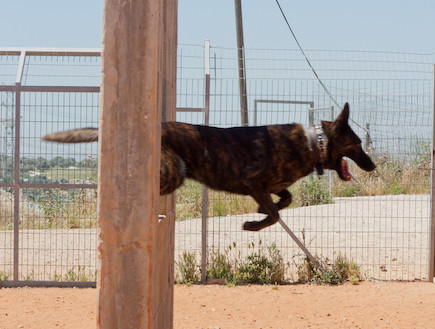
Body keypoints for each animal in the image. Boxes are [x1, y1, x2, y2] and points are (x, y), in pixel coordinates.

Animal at [43, 102, 374, 231]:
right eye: (358, 144)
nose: (372, 165)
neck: (313, 143)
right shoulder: (253, 182)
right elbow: (276, 212)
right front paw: (254, 224)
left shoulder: (271, 186)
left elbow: (285, 200)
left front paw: (259, 212)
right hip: (173, 172)